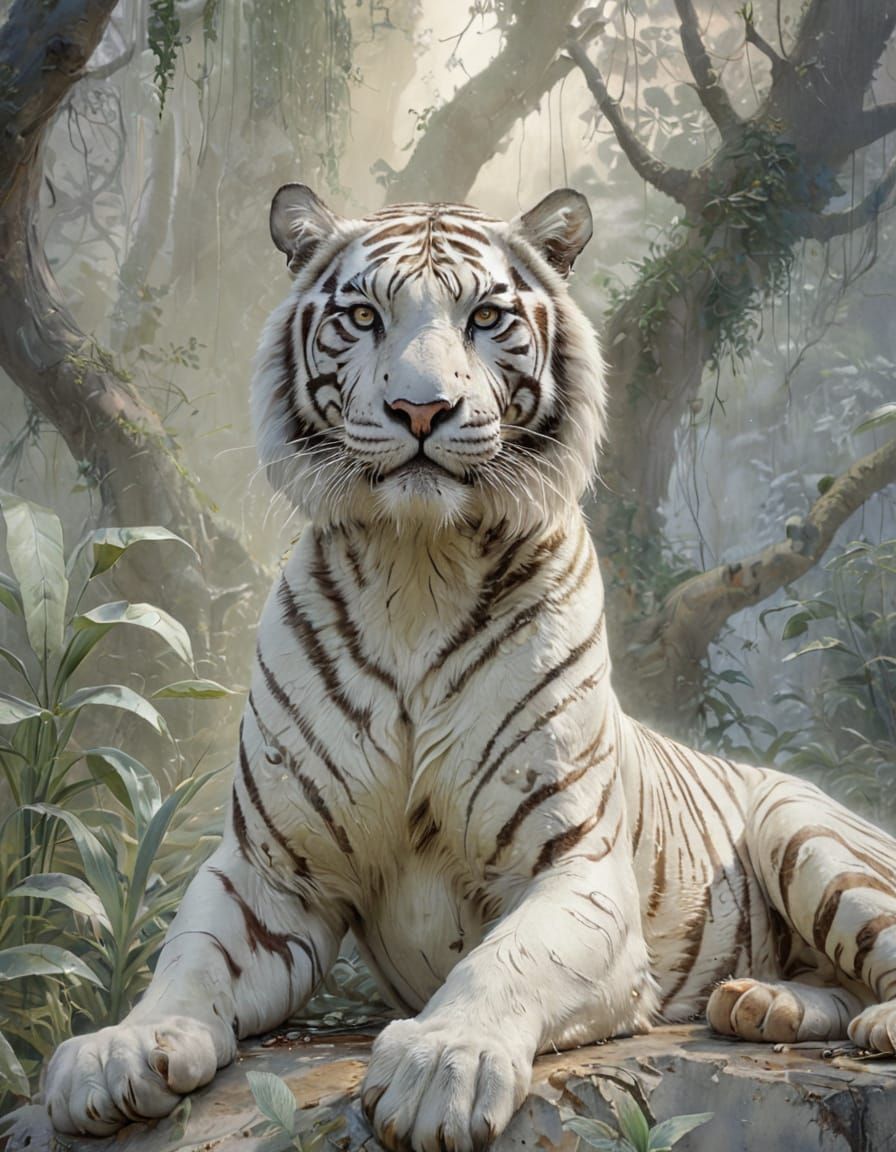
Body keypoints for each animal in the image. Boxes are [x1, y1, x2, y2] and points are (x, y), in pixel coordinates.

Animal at [44, 184, 896, 1152]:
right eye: (364, 317)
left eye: (485, 317)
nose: (422, 411)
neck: (419, 568)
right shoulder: (269, 870)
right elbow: (190, 960)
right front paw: (117, 1052)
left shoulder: (574, 866)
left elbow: (506, 961)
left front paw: (440, 1065)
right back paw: (761, 1005)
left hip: (803, 826)